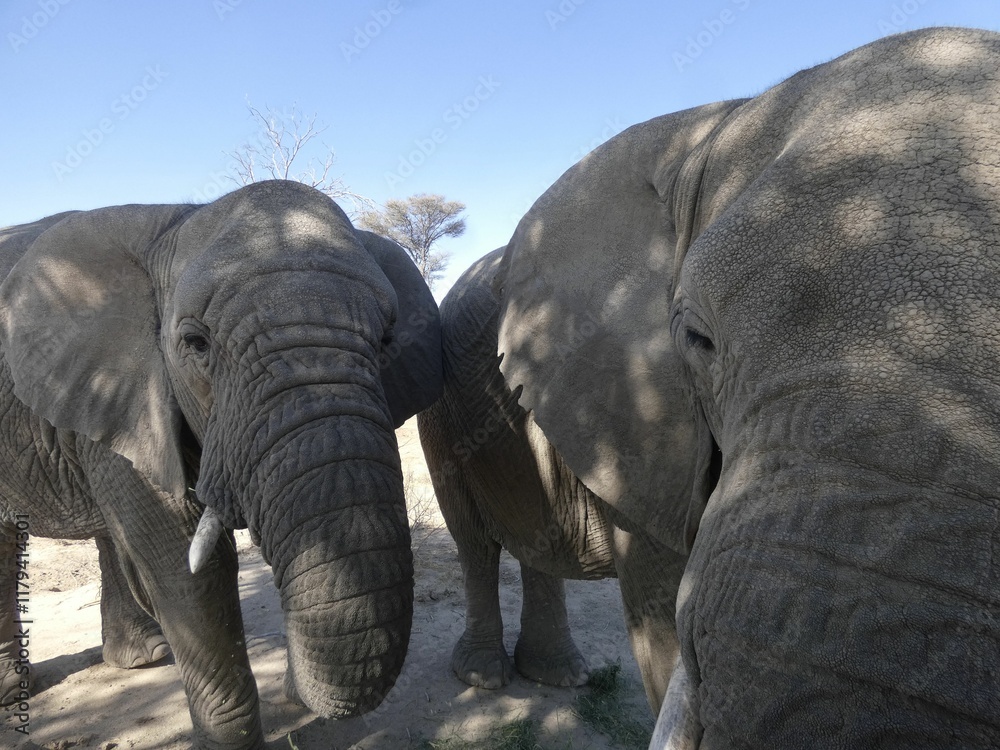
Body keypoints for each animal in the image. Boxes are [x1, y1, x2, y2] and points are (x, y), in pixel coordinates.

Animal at [0, 179, 443, 749]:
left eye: (387, 341)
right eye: (196, 343)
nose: (297, 693)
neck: (178, 222)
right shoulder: (126, 390)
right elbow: (188, 569)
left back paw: (144, 659)